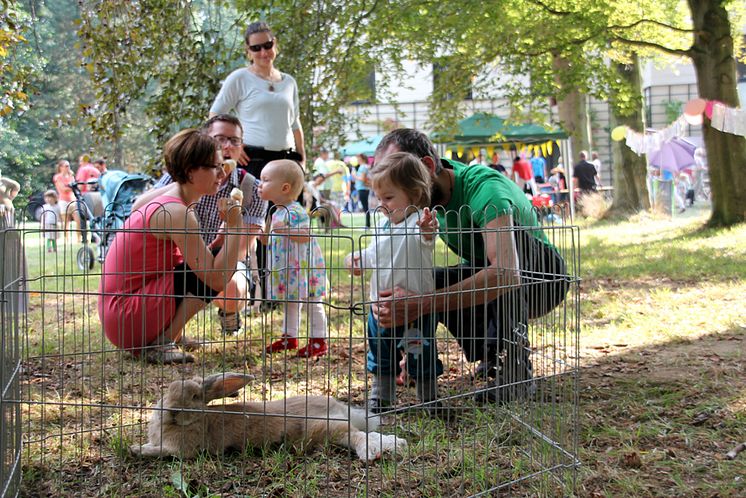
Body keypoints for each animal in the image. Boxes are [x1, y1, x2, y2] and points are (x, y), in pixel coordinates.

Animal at [129, 372, 406, 462]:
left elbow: (161, 451)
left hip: (324, 429)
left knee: (358, 436)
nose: (172, 410)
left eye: (196, 397)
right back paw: (393, 444)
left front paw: (136, 449)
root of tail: (341, 408)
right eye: (168, 391)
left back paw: (373, 451)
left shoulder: (181, 450)